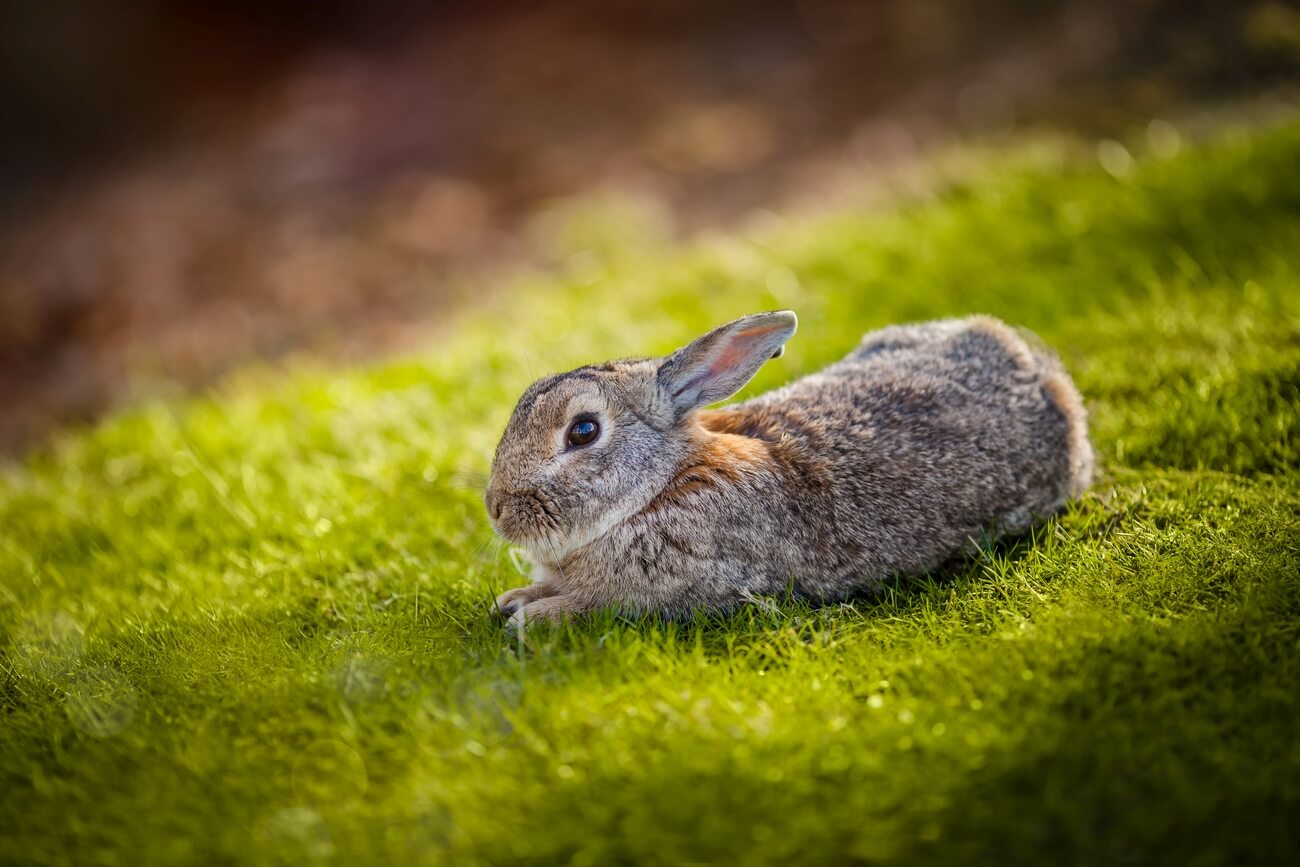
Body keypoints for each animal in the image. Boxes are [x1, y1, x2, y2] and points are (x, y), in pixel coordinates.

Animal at [483, 311, 1092, 631]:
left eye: (583, 431)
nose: (496, 509)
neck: (659, 487)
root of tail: (1040, 373)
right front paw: (515, 599)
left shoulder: (673, 595)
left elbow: (594, 606)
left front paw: (530, 618)